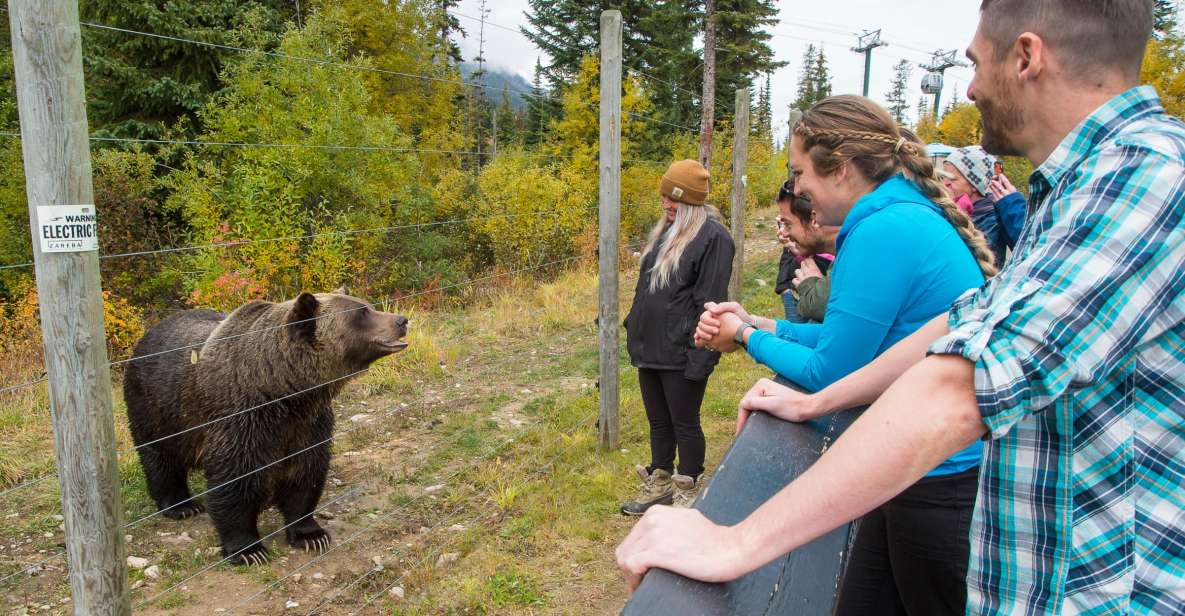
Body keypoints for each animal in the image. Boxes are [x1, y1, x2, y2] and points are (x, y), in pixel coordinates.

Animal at [124, 291, 410, 566]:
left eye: (368, 305)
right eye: (362, 312)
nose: (401, 320)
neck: (282, 391)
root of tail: (151, 331)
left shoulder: (307, 423)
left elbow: (305, 473)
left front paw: (311, 535)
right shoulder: (241, 420)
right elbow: (235, 482)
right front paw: (249, 550)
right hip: (156, 406)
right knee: (160, 456)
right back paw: (181, 505)